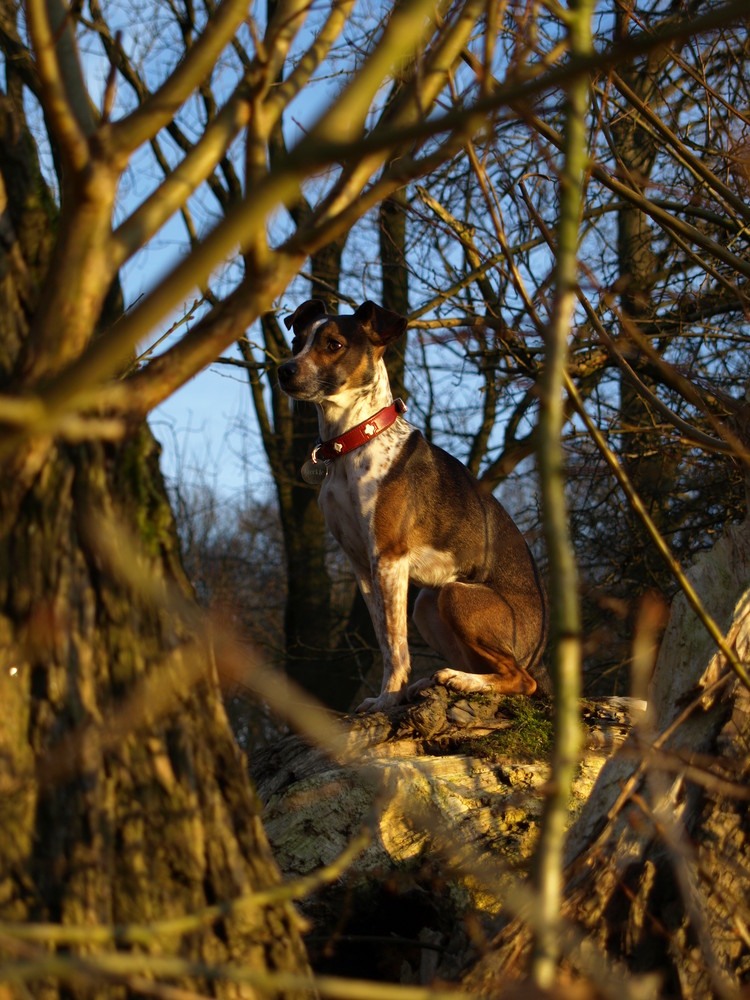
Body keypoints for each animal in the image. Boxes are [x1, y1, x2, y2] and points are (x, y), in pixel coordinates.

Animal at [280, 296, 548, 712]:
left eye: (334, 344)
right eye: (297, 342)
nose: (283, 371)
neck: (353, 443)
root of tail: (541, 648)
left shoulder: (389, 556)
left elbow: (396, 644)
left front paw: (388, 698)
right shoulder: (362, 564)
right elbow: (385, 638)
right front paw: (391, 693)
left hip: (453, 595)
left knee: (522, 680)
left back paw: (460, 680)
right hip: (428, 604)